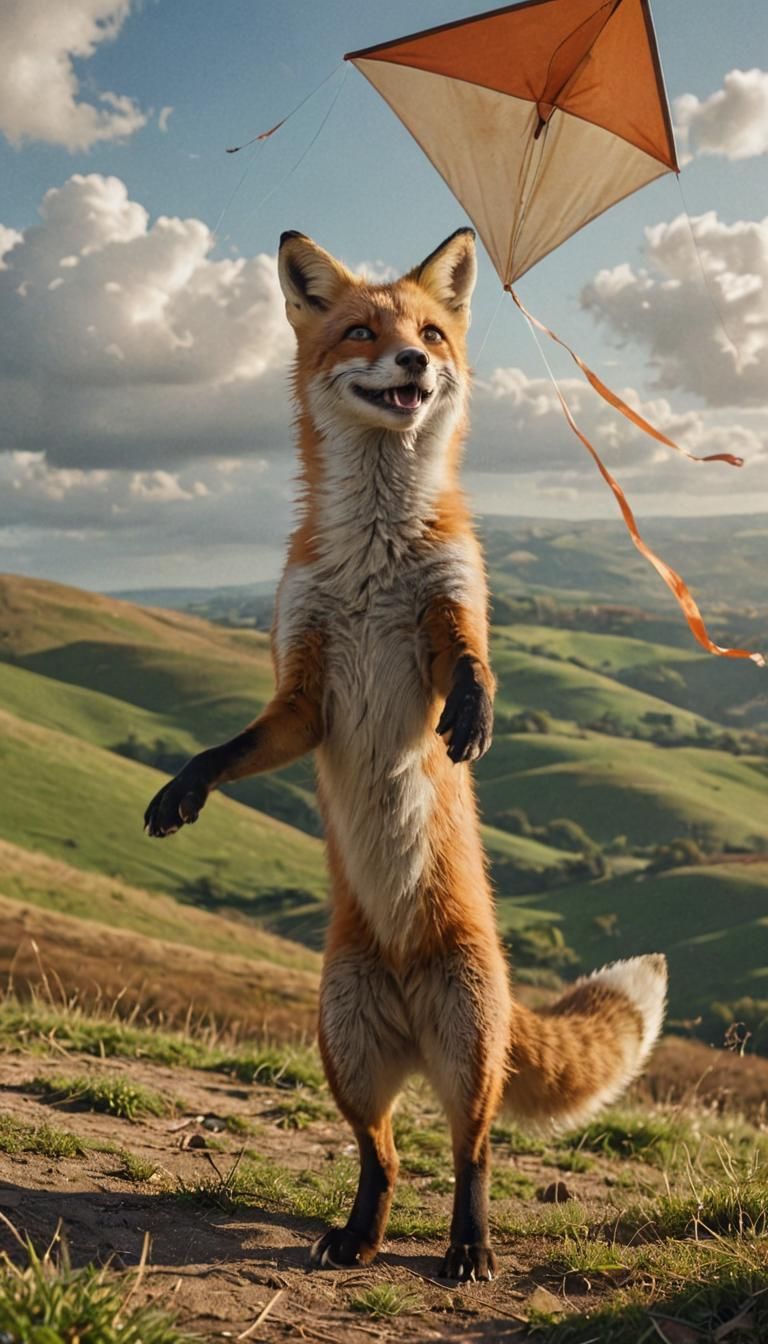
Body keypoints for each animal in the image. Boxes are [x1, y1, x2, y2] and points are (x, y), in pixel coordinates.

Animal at [144, 227, 667, 1282]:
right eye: (361, 334)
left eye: (428, 332)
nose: (416, 365)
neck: (376, 554)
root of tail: (417, 1029)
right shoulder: (305, 693)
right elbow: (236, 746)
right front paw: (185, 786)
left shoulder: (449, 602)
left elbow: (469, 661)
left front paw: (475, 715)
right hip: (344, 1049)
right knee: (381, 1159)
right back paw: (355, 1236)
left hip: (467, 1050)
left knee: (472, 1153)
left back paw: (469, 1248)